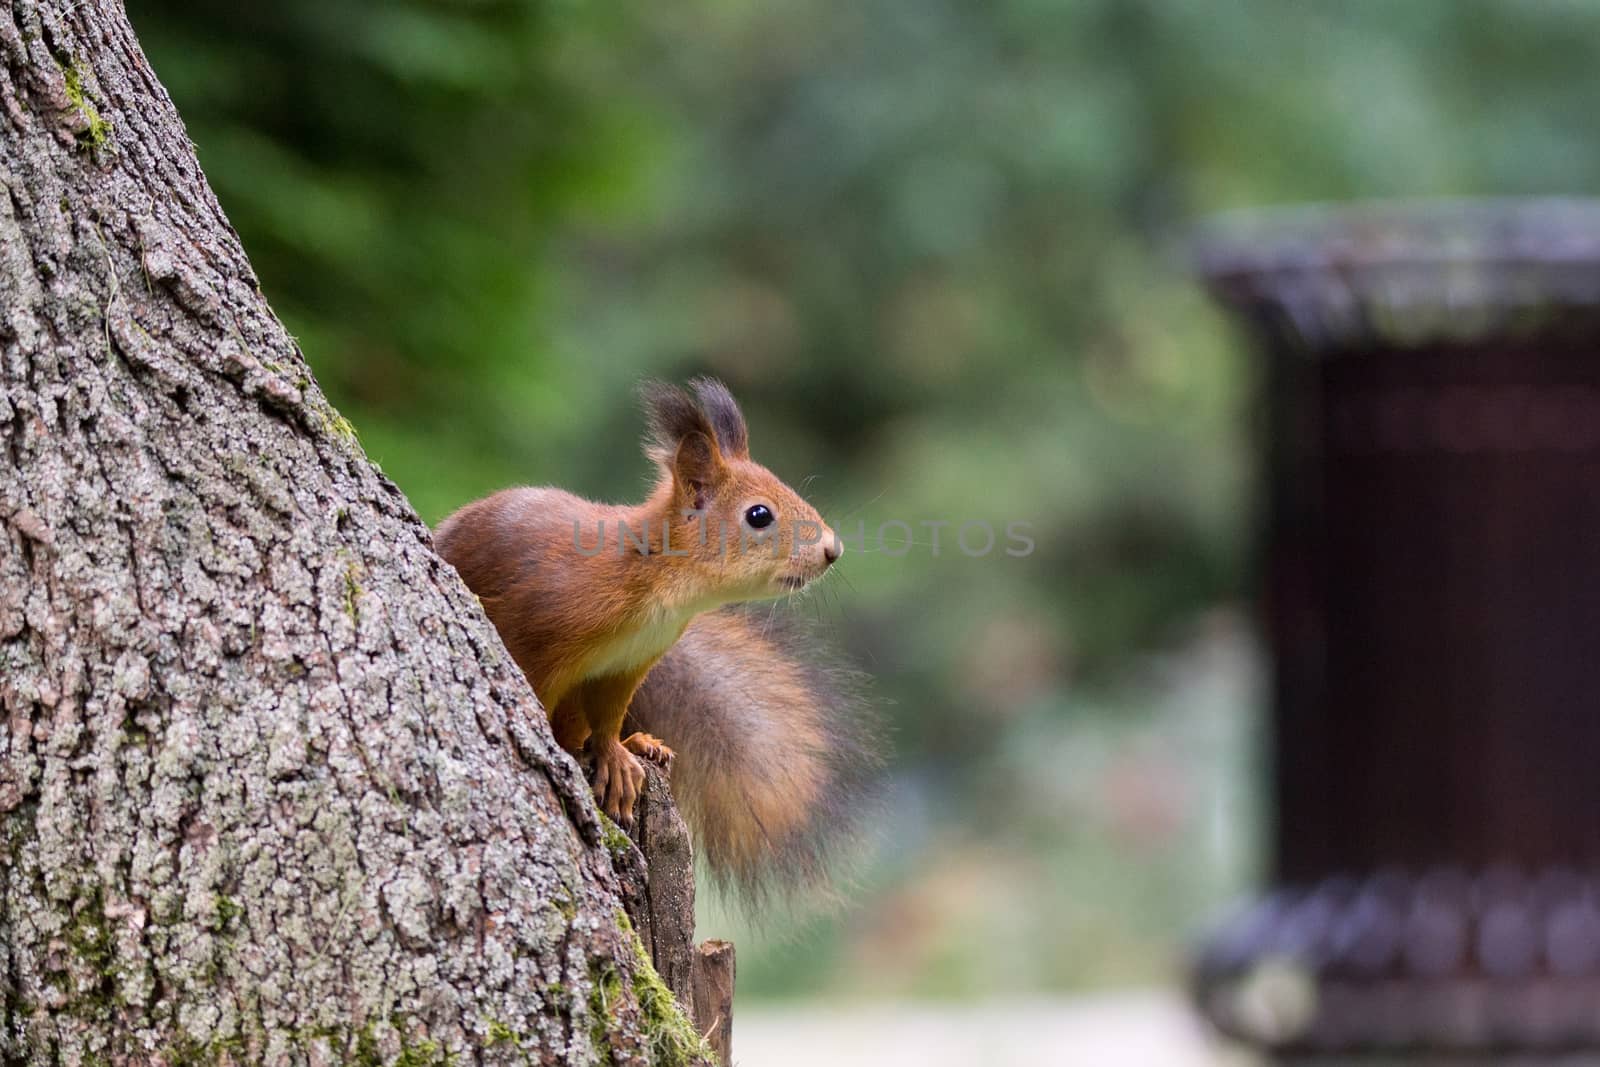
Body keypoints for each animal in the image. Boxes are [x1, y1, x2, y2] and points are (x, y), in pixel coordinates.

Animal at [432, 379, 883, 895]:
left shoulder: (627, 665)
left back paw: (637, 744)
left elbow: (608, 716)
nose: (832, 549)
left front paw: (614, 754)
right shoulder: (537, 634)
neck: (654, 576)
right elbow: (534, 695)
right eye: (759, 515)